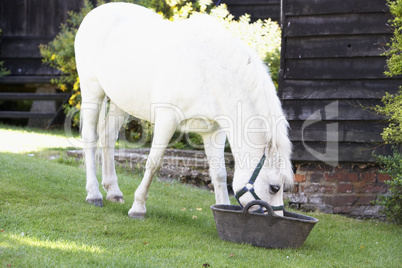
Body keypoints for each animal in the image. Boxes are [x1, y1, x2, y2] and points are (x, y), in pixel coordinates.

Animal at [74, 2, 292, 220]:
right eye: (274, 187)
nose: (278, 218)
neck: (207, 70)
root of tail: (97, 12)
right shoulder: (167, 120)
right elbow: (154, 163)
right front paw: (138, 207)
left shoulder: (214, 131)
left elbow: (219, 173)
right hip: (92, 91)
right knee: (90, 137)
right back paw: (94, 194)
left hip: (122, 102)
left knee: (108, 135)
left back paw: (113, 192)